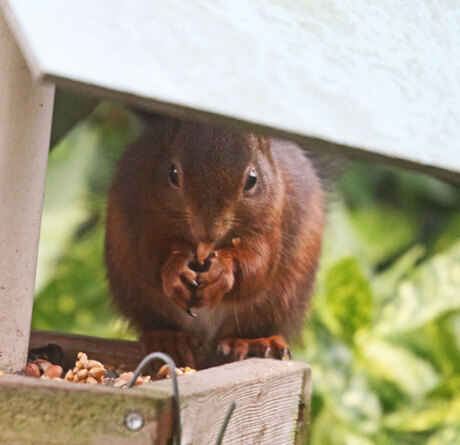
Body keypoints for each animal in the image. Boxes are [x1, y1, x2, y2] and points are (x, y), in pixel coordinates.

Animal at [105, 113, 326, 368]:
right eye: (172, 173)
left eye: (252, 180)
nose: (207, 234)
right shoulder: (151, 215)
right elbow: (152, 256)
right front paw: (176, 269)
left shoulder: (270, 222)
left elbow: (258, 265)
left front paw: (222, 271)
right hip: (136, 292)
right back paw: (170, 339)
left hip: (281, 300)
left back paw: (253, 342)